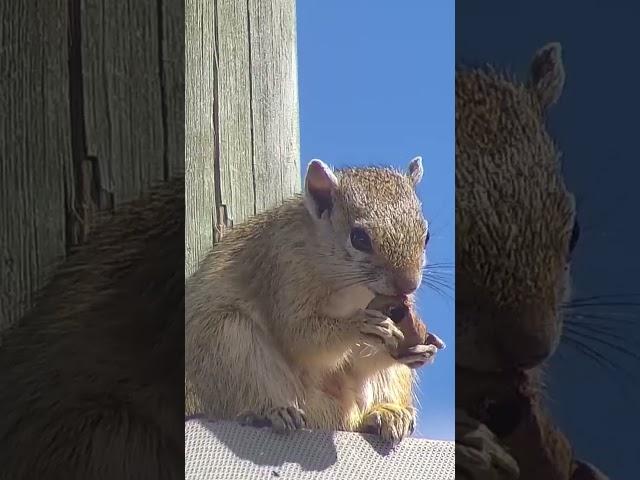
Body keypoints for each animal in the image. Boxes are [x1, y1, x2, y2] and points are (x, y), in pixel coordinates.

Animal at [185, 158, 442, 442]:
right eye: (359, 238)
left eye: (426, 236)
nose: (409, 285)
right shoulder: (283, 270)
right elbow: (300, 338)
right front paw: (360, 326)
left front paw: (422, 349)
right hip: (229, 340)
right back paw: (270, 412)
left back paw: (387, 413)